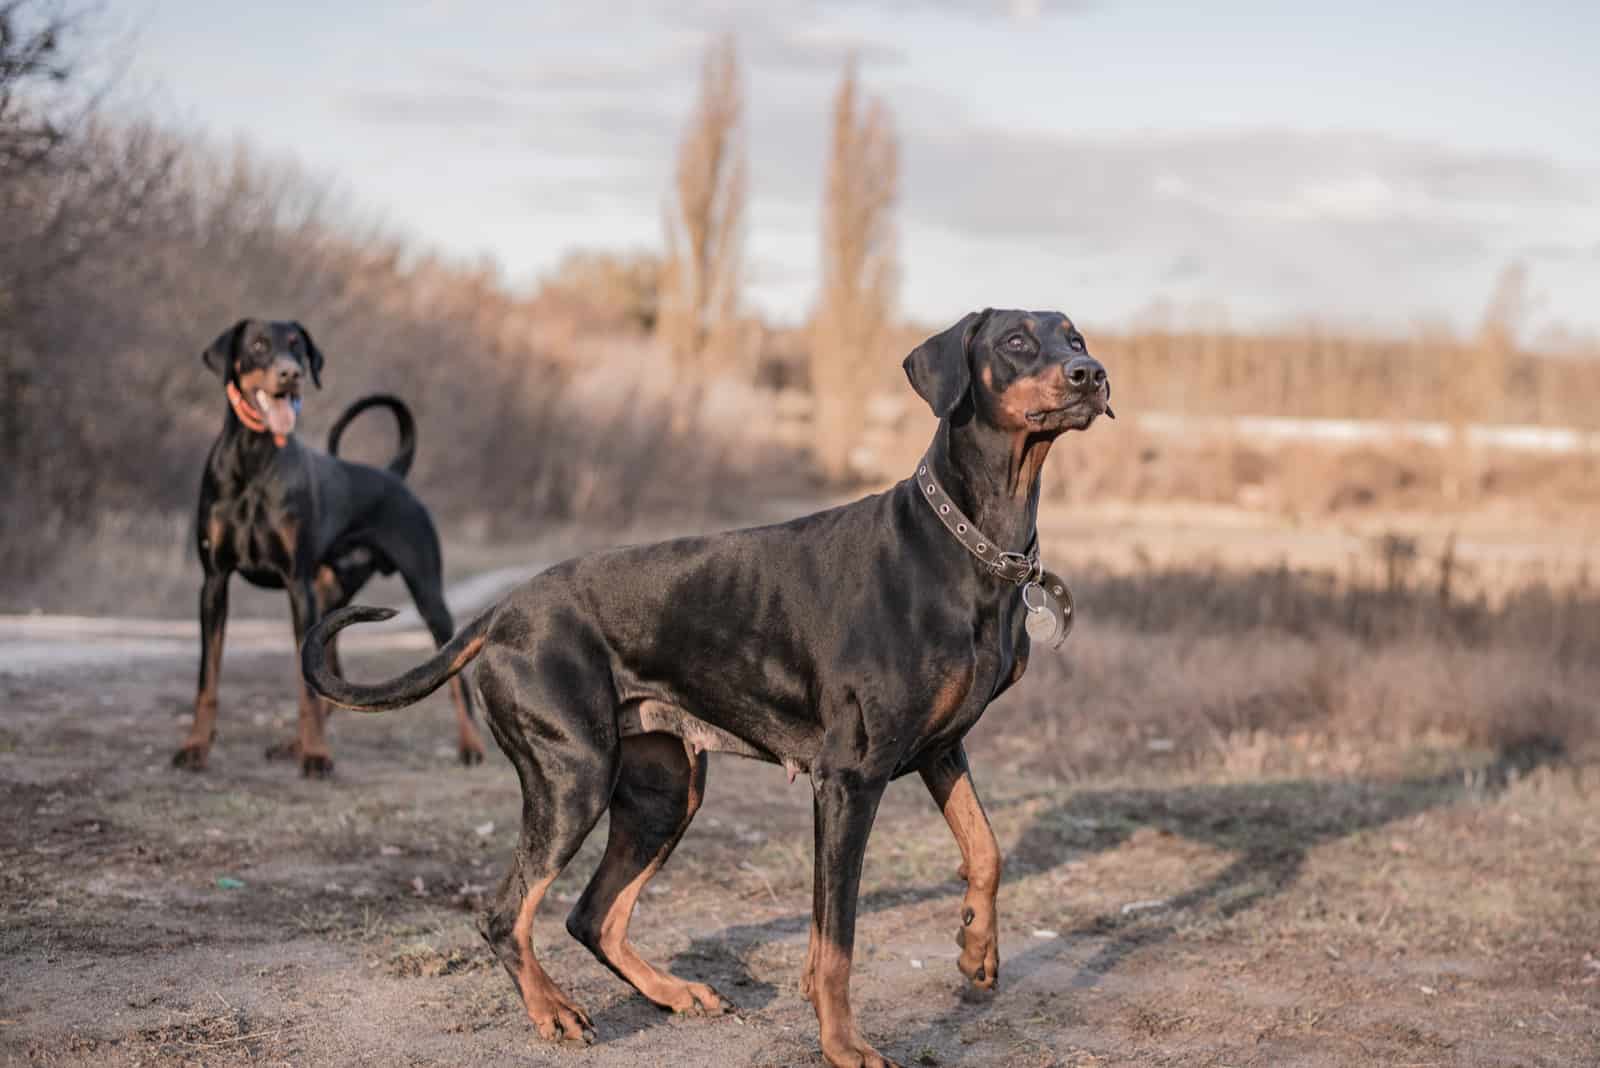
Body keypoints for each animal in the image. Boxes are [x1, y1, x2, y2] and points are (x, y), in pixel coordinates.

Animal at [177, 316, 483, 777]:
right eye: (258, 345)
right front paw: (195, 747)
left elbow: (304, 690)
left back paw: (470, 745)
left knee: (454, 676)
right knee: (331, 672)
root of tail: (393, 473)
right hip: (332, 594)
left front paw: (317, 756)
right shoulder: (214, 582)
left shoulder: (296, 584)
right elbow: (206, 681)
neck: (254, 458)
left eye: (297, 346)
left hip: (426, 591)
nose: (291, 374)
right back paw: (292, 744)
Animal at [300, 306, 1113, 1061]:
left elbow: (986, 850)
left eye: (1074, 336)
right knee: (506, 912)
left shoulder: (940, 748)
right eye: (1016, 341)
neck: (970, 544)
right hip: (574, 776)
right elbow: (838, 937)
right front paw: (843, 1044)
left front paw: (977, 953)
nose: (1092, 374)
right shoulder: (850, 778)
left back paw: (670, 991)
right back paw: (553, 1011)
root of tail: (502, 612)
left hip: (665, 789)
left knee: (592, 914)